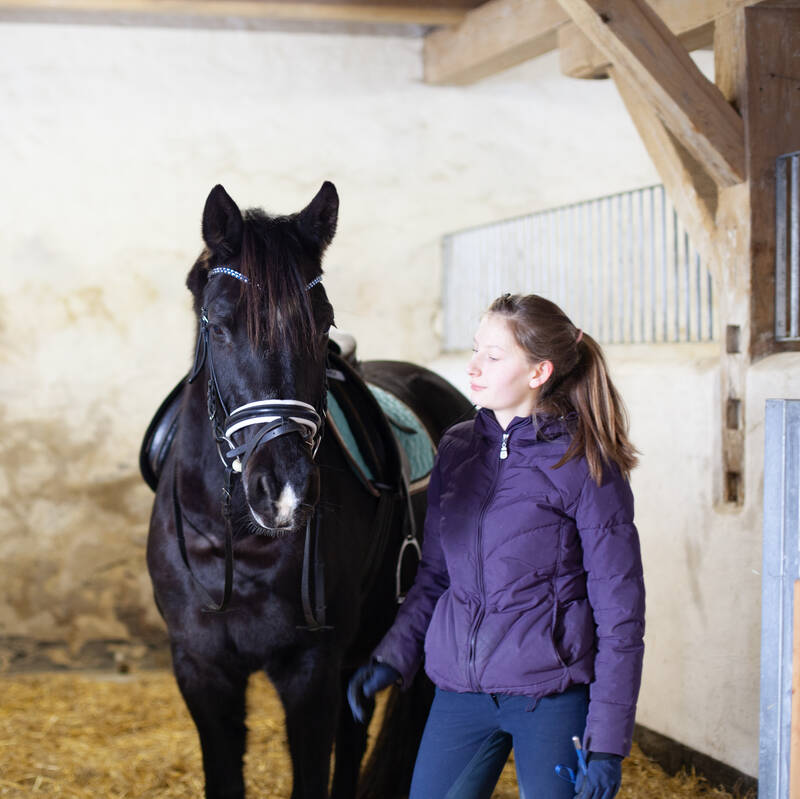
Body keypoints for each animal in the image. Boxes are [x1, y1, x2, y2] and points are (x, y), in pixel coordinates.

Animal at [143, 181, 473, 799]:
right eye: (218, 325)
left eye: (323, 324)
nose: (285, 491)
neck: (237, 539)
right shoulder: (201, 668)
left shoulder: (311, 670)